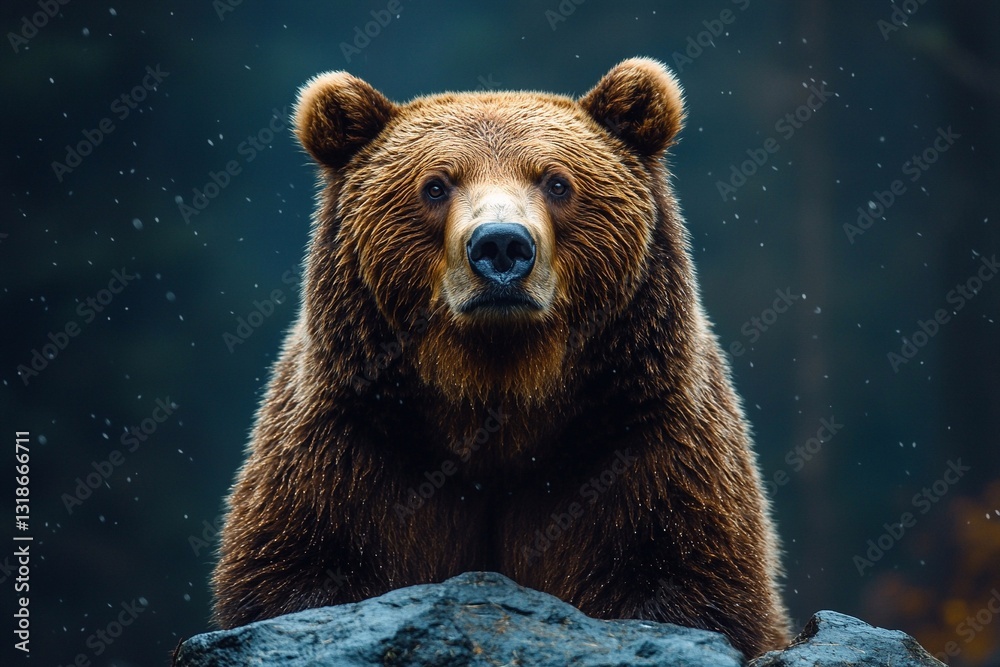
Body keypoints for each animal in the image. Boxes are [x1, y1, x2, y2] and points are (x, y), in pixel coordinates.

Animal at [212, 57, 790, 658]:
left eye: (557, 181)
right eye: (435, 185)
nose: (502, 246)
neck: (498, 402)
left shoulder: (643, 440)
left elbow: (685, 577)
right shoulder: (349, 447)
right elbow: (301, 570)